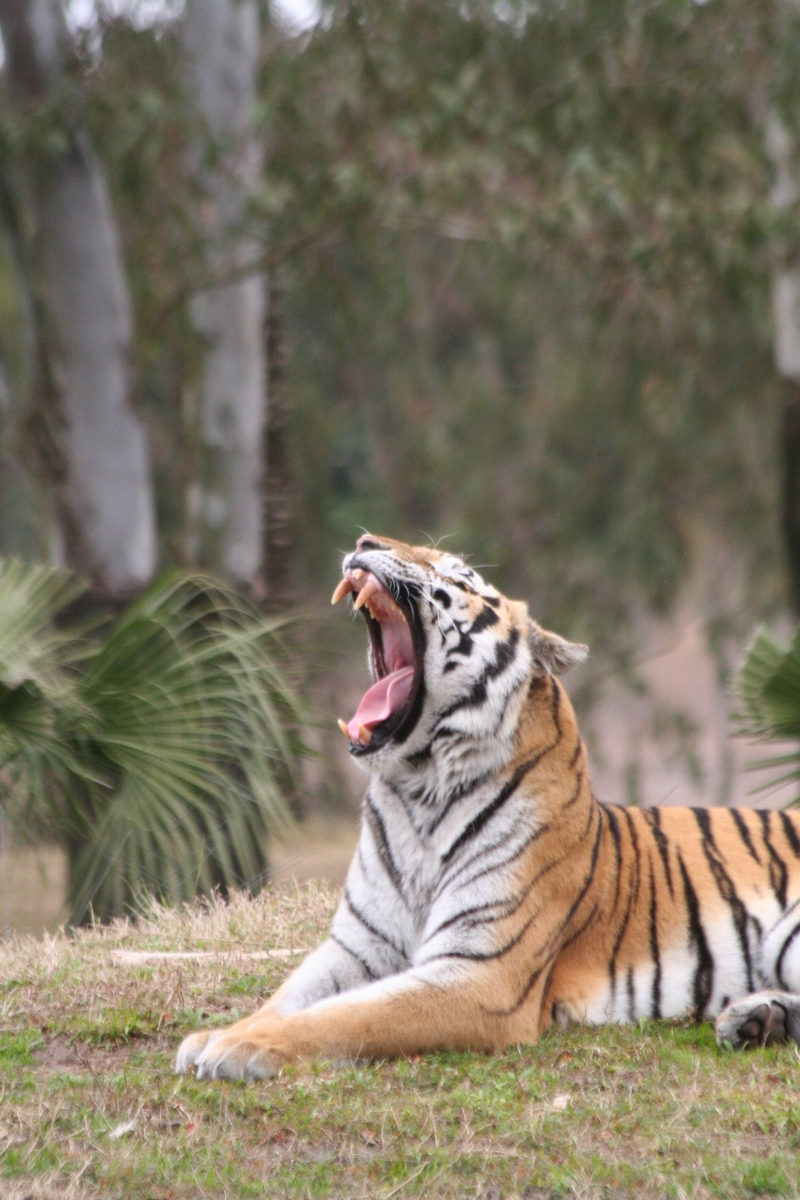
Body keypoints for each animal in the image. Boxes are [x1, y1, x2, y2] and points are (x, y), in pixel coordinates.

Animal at [175, 533, 800, 1082]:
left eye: (457, 574)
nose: (364, 541)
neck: (417, 794)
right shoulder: (355, 946)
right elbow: (286, 997)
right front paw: (216, 1035)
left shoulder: (482, 974)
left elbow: (350, 1016)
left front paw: (242, 1048)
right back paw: (756, 1020)